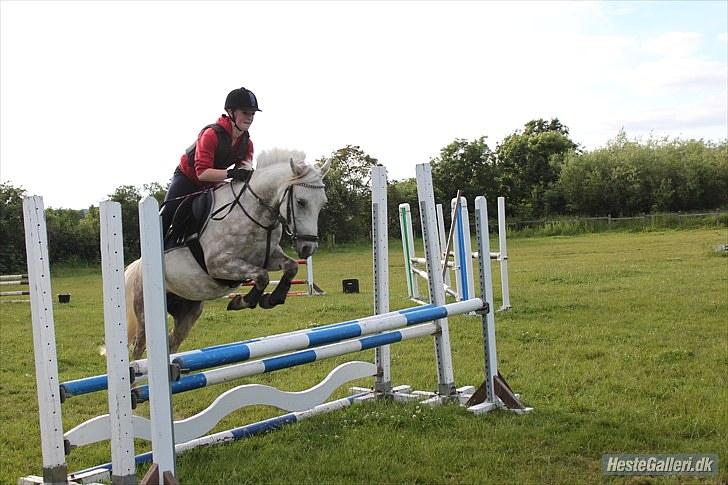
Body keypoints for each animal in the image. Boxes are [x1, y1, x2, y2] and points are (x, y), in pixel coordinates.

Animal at [125, 151, 330, 360]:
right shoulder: (219, 263)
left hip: (189, 309)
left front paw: (272, 299)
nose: (308, 248)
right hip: (145, 313)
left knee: (173, 341)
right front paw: (242, 301)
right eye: (301, 202)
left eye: (323, 203)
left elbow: (291, 267)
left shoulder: (268, 256)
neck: (255, 212)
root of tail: (137, 266)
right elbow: (262, 276)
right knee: (139, 346)